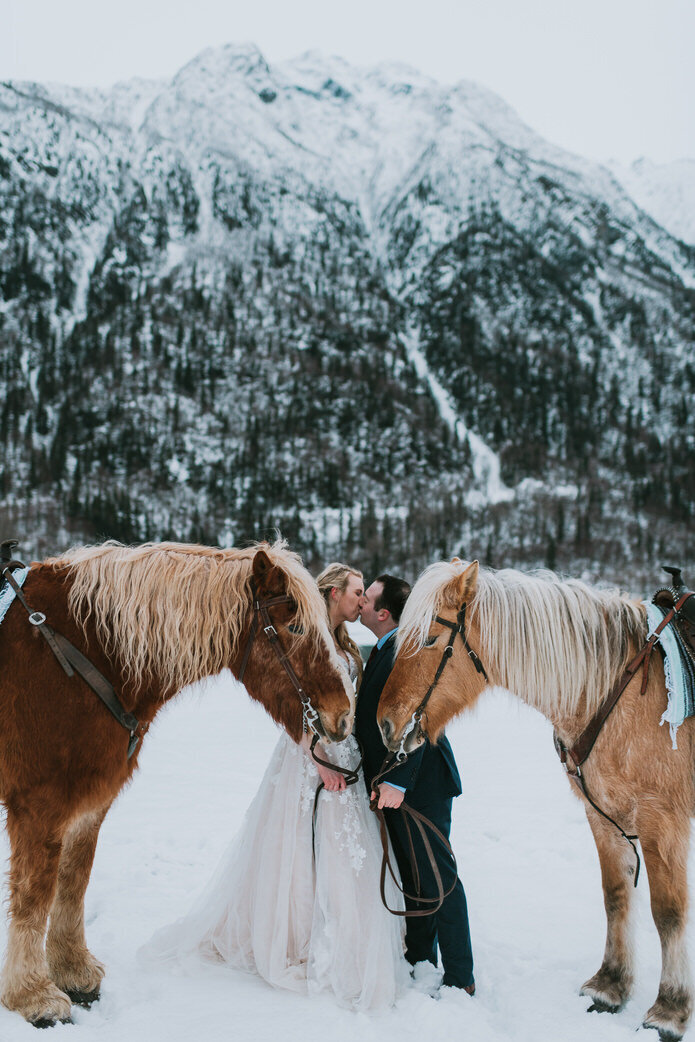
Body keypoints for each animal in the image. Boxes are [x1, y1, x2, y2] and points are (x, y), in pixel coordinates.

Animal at [0, 541, 350, 1029]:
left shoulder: (88, 806)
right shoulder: (39, 806)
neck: (81, 653)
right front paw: (33, 995)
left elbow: (73, 883)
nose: (344, 716)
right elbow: (35, 895)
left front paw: (73, 971)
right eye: (295, 626)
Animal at [381, 562, 695, 1042]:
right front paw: (610, 987)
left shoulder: (663, 821)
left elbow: (669, 913)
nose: (384, 723)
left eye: (431, 638)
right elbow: (616, 896)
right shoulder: (604, 817)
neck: (615, 688)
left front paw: (670, 1009)